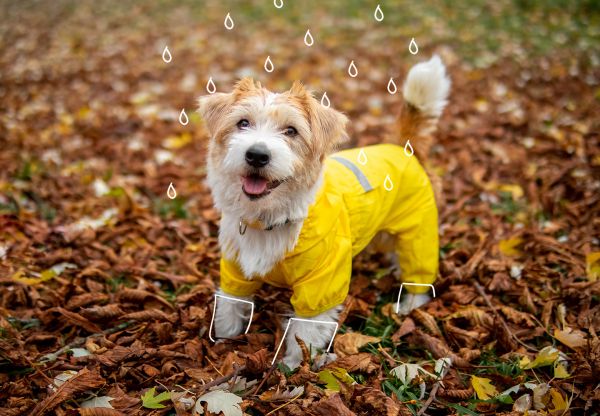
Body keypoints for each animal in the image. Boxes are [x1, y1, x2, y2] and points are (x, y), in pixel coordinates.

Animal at [198, 55, 450, 368]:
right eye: (242, 123)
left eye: (291, 131)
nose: (256, 155)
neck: (270, 218)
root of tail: (403, 148)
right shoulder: (235, 268)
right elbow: (230, 307)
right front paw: (225, 343)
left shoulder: (320, 284)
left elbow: (304, 330)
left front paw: (293, 367)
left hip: (418, 232)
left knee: (418, 271)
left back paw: (410, 305)